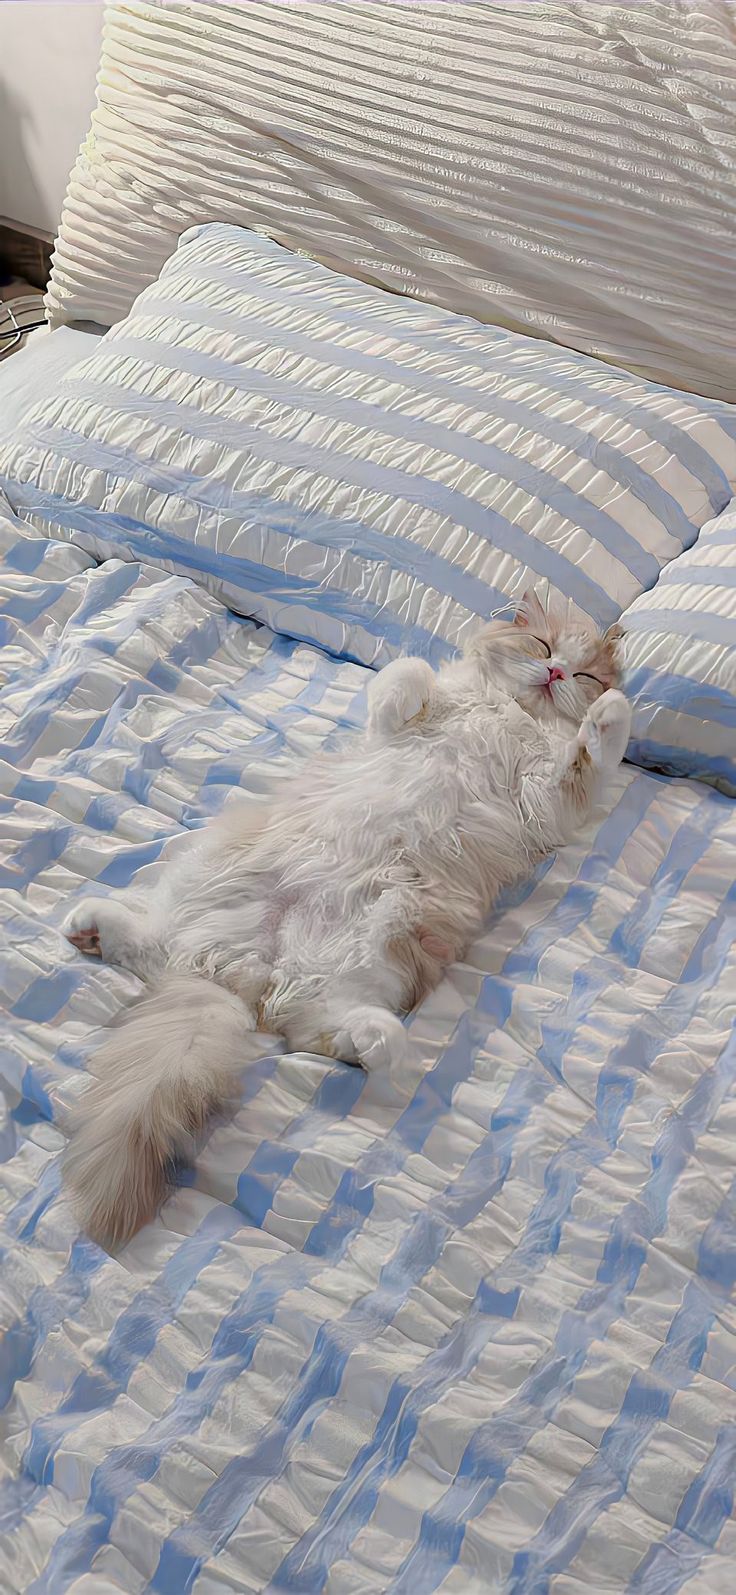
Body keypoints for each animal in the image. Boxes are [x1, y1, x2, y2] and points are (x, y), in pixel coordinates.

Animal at [60, 593, 629, 1250]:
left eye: (585, 675)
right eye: (542, 647)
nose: (557, 674)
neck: (508, 710)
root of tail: (243, 979)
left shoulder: (545, 799)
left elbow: (592, 752)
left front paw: (609, 718)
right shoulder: (402, 721)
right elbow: (407, 675)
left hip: (377, 952)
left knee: (330, 1037)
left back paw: (377, 1039)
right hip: (211, 870)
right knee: (159, 949)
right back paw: (91, 925)